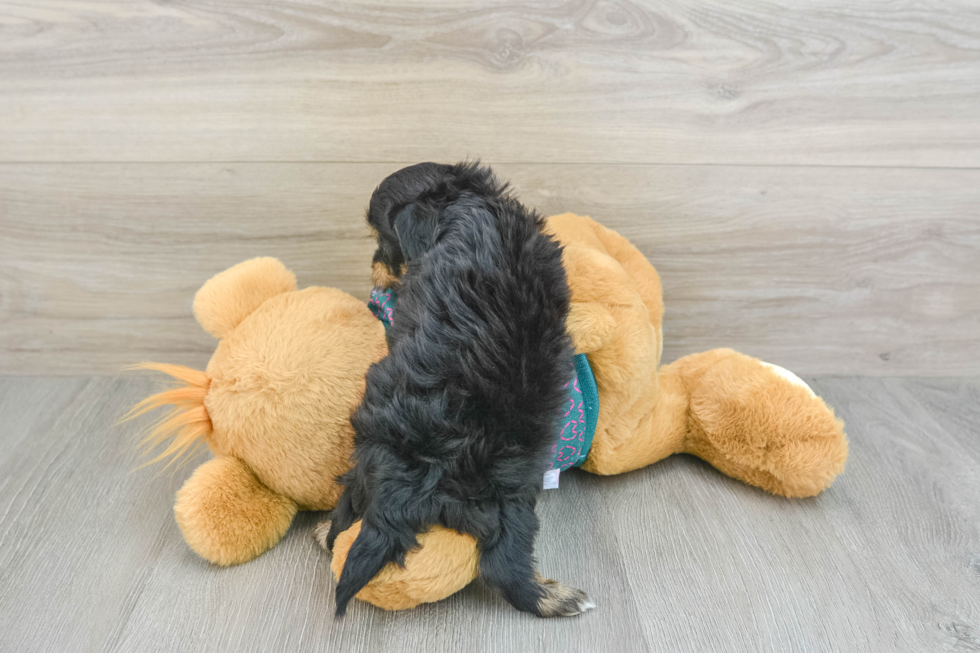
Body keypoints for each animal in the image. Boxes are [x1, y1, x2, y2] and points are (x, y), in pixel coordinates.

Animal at [326, 162, 592, 616]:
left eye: (382, 241)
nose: (375, 268)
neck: (465, 200)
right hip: (514, 494)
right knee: (506, 561)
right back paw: (552, 596)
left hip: (369, 449)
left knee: (349, 507)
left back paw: (325, 532)